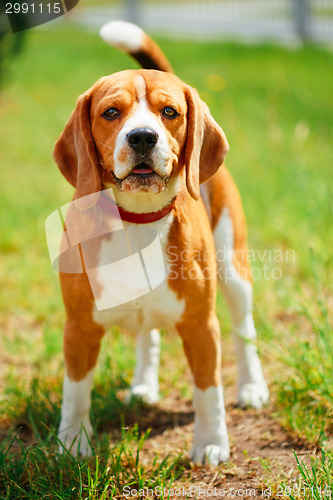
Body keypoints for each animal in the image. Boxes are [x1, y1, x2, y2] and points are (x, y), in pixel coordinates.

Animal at [53, 20, 268, 464]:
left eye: (169, 112)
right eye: (111, 113)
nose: (141, 137)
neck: (137, 219)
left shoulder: (201, 326)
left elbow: (208, 391)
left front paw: (211, 443)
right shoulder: (79, 326)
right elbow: (76, 390)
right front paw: (73, 442)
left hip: (233, 268)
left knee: (244, 329)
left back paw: (252, 387)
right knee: (147, 334)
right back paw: (144, 386)